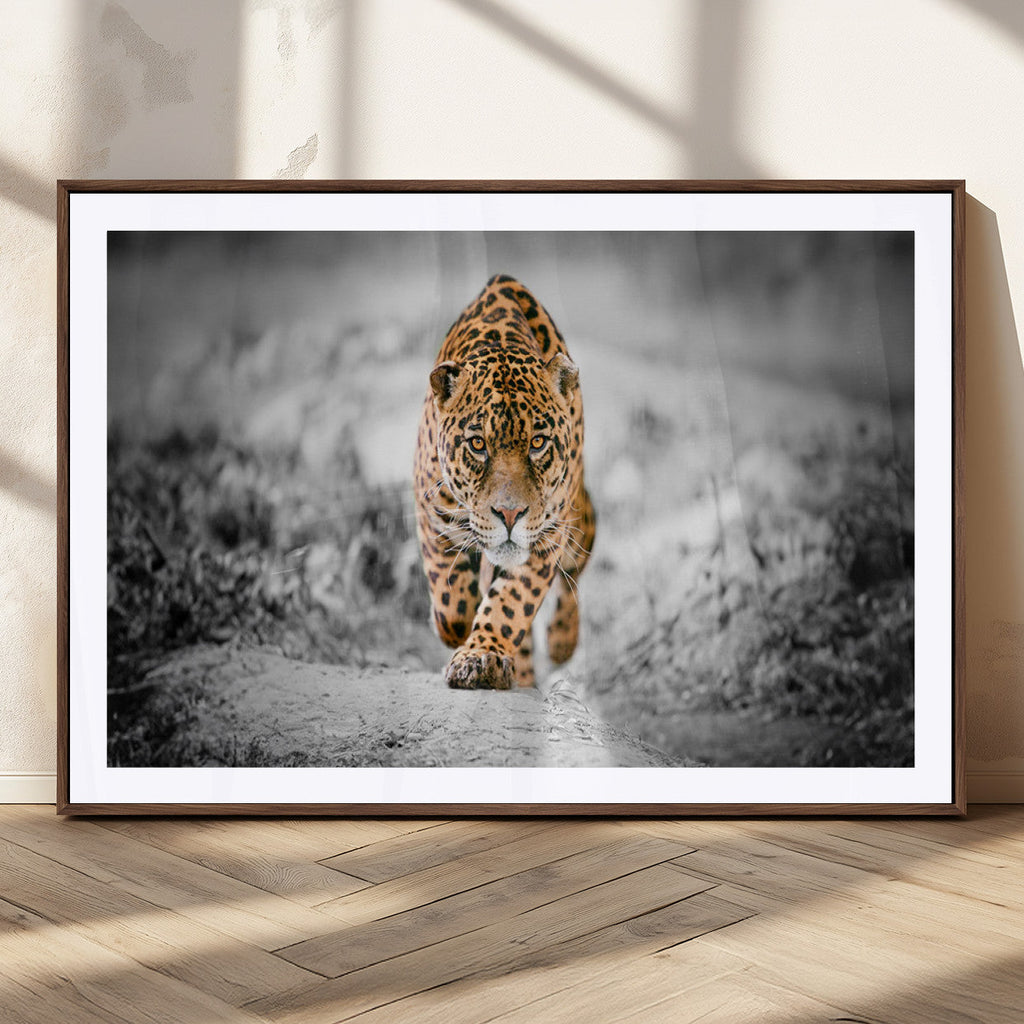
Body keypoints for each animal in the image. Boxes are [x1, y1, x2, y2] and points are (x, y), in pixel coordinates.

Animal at [413, 274, 596, 690]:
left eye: (538, 443)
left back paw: (561, 642)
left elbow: (511, 603)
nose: (510, 515)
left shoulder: (547, 536)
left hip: (579, 518)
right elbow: (451, 600)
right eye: (478, 445)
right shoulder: (431, 513)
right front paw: (456, 630)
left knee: (574, 574)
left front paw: (480, 657)